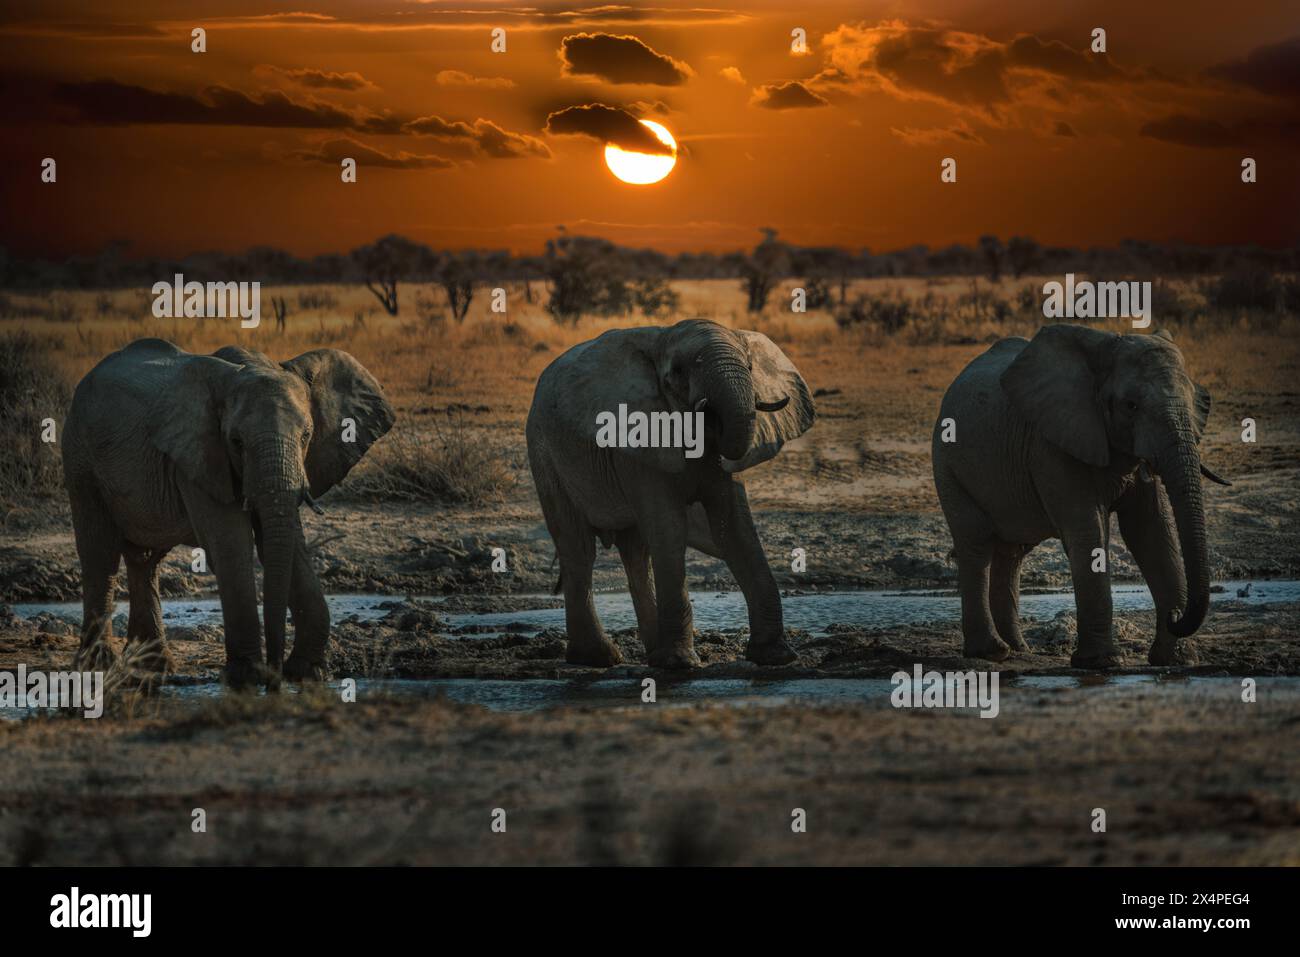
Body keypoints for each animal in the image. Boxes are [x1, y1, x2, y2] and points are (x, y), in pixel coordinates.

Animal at [62, 338, 394, 689]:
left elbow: (288, 541)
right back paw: (98, 666)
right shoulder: (197, 453)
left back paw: (151, 667)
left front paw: (308, 673)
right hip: (80, 458)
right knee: (100, 555)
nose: (275, 678)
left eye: (306, 436)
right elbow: (230, 543)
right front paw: (246, 676)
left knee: (144, 560)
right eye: (237, 441)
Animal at [526, 319, 816, 669]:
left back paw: (650, 654)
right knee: (578, 548)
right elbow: (670, 527)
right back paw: (599, 658)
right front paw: (681, 663)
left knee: (636, 552)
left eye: (749, 366)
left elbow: (735, 529)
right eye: (677, 372)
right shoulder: (638, 439)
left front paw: (776, 656)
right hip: (545, 456)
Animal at [931, 324, 1229, 668]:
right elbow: (1088, 532)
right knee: (976, 543)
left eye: (1195, 401)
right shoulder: (1051, 444)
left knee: (1012, 552)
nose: (1176, 615)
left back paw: (1019, 649)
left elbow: (1151, 531)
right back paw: (992, 652)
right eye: (1131, 405)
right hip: (948, 465)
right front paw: (1102, 663)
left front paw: (1177, 660)